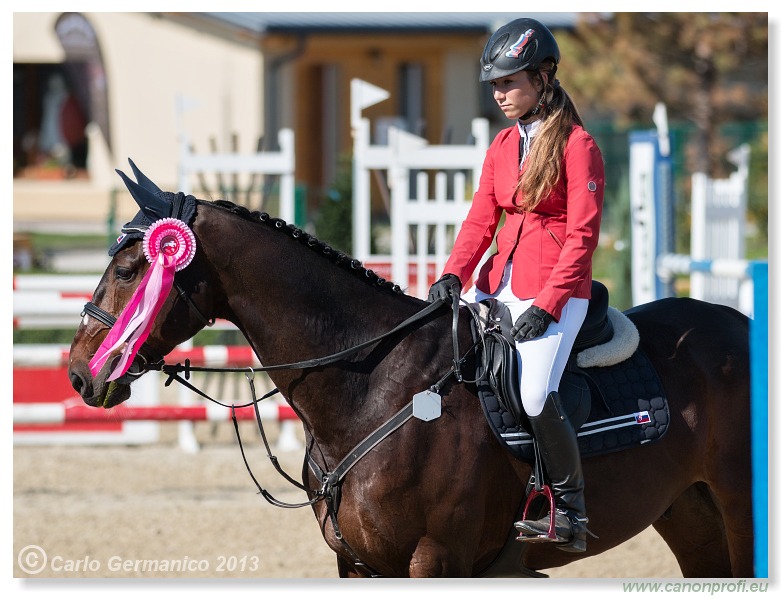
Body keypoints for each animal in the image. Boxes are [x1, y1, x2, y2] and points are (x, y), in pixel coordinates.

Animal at [70, 170, 752, 576]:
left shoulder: (436, 559)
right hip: (690, 516)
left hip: (740, 507)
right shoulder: (358, 564)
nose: (80, 374)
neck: (373, 386)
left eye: (129, 271)